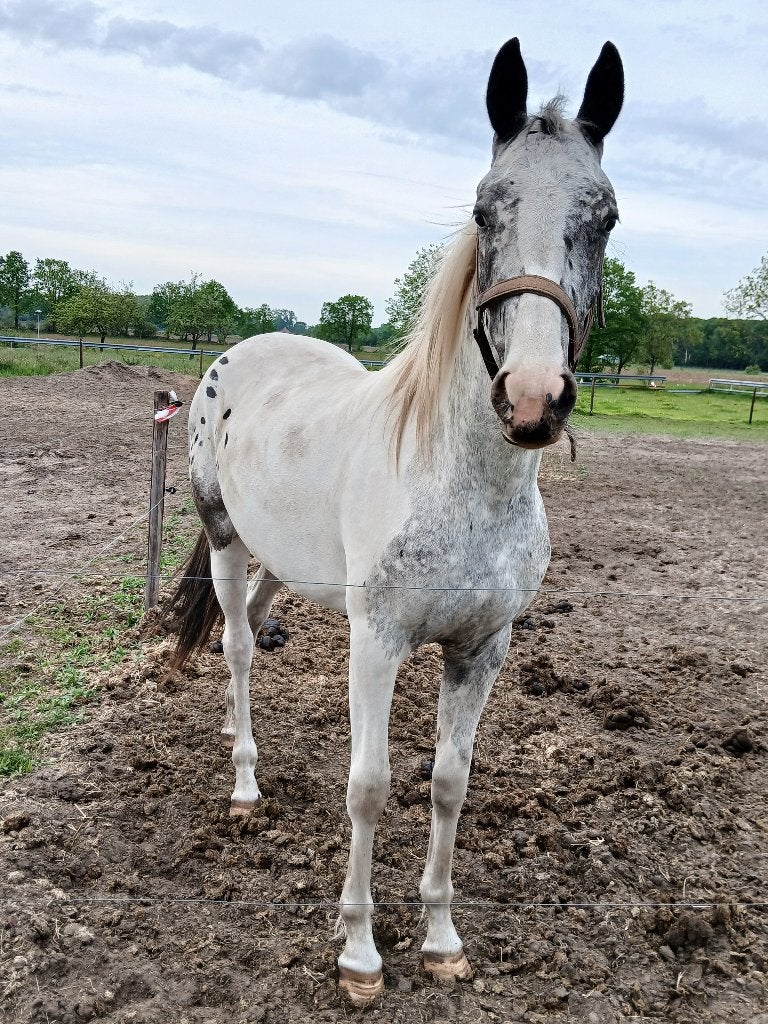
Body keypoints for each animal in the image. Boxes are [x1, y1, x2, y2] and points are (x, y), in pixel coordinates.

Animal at [167, 37, 624, 1005]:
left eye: (603, 217)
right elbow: (369, 787)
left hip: (282, 561)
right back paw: (244, 783)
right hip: (227, 541)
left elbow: (449, 783)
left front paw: (443, 939)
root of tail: (244, 350)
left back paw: (233, 733)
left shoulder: (482, 647)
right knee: (235, 644)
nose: (533, 400)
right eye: (486, 209)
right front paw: (359, 954)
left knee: (246, 631)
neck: (461, 484)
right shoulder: (375, 640)